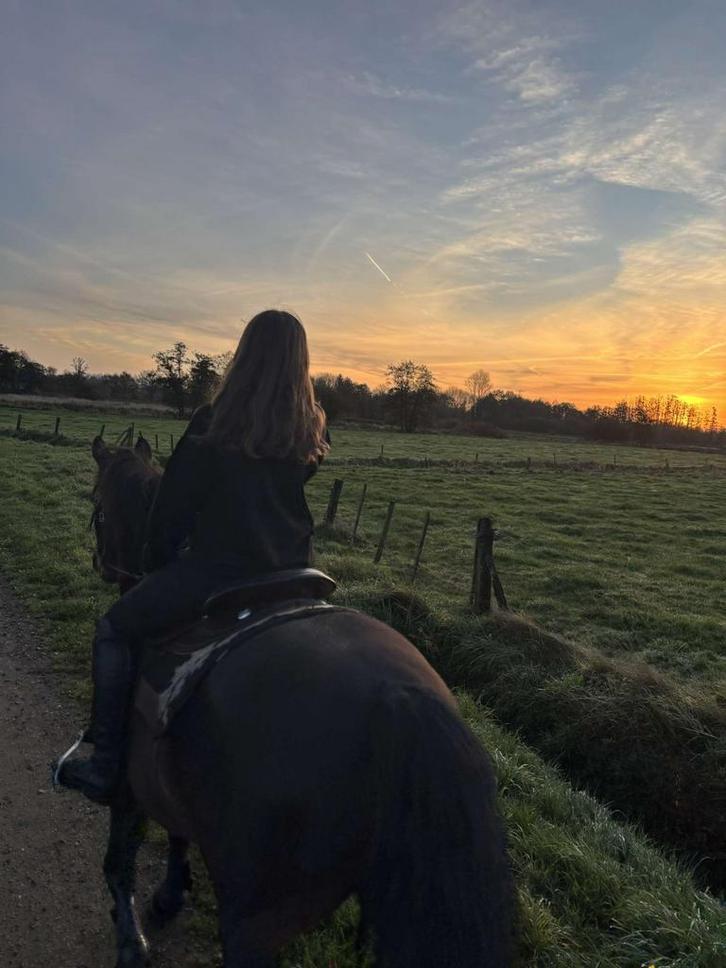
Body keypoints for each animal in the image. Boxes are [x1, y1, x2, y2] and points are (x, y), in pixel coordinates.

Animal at [66, 434, 514, 968]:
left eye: (99, 508)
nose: (101, 565)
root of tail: (401, 701)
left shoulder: (131, 785)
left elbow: (120, 859)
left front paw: (131, 939)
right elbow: (178, 833)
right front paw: (170, 896)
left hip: (257, 920)